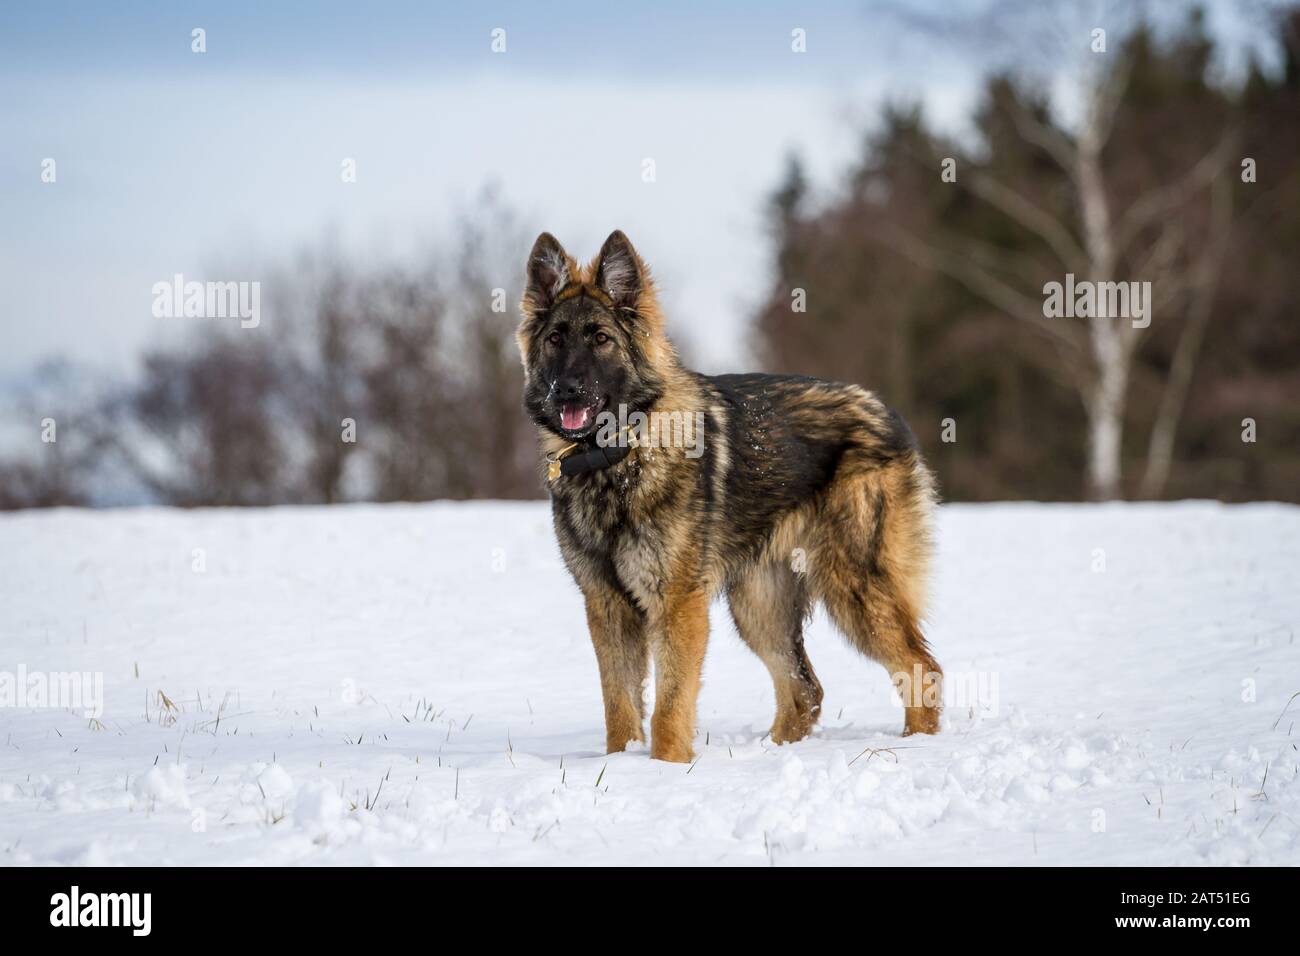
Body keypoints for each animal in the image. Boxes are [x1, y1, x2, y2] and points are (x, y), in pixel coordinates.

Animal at [520, 230, 946, 764]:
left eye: (601, 339)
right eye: (555, 339)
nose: (567, 391)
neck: (618, 459)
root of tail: (882, 408)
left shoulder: (677, 606)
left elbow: (669, 708)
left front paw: (665, 768)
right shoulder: (607, 607)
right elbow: (619, 707)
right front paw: (622, 763)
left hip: (854, 587)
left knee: (919, 665)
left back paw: (918, 747)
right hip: (759, 606)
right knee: (804, 690)